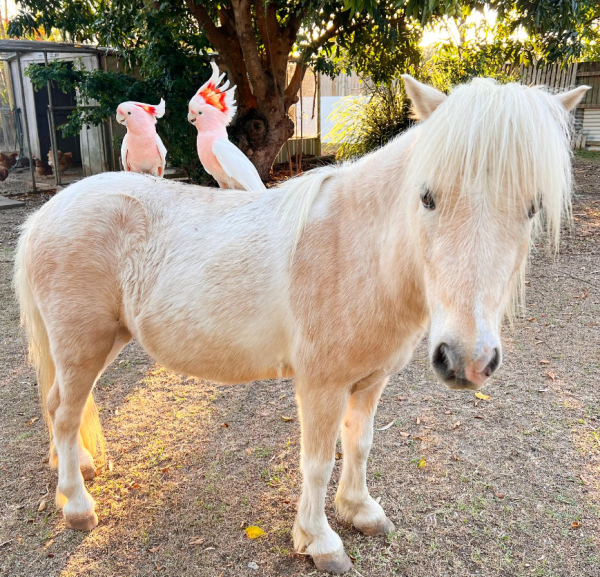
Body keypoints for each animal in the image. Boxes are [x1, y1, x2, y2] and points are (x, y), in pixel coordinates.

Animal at [15, 75, 592, 572]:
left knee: (59, 408)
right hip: (83, 345)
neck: (356, 248)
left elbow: (359, 444)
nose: (467, 360)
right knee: (65, 413)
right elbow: (317, 461)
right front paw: (319, 540)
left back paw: (77, 469)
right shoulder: (322, 385)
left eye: (533, 208)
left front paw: (360, 511)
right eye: (427, 197)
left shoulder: (370, 381)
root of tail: (47, 213)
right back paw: (77, 505)